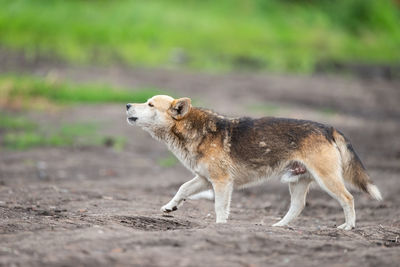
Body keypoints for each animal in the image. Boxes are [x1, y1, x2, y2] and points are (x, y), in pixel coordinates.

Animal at [126, 96, 382, 230]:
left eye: (150, 105)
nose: (127, 105)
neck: (194, 130)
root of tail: (328, 128)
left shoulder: (221, 182)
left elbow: (220, 207)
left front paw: (220, 225)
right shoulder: (204, 179)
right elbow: (182, 189)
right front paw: (171, 206)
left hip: (326, 179)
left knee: (348, 198)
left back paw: (348, 226)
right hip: (297, 181)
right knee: (297, 207)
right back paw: (279, 226)